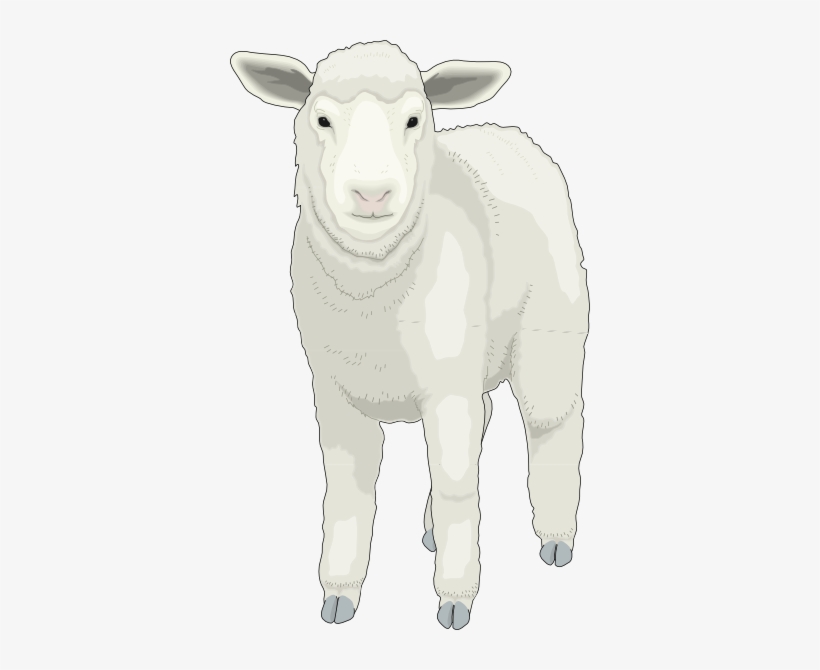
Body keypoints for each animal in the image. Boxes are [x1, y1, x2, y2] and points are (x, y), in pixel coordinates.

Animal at [230, 41, 589, 630]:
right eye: (321, 119)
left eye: (415, 119)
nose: (372, 194)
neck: (371, 290)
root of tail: (510, 132)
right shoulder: (335, 391)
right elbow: (347, 494)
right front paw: (340, 594)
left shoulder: (446, 385)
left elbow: (455, 484)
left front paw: (455, 599)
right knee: (486, 414)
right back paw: (432, 532)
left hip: (549, 327)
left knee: (552, 420)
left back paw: (556, 539)